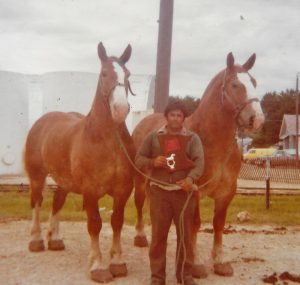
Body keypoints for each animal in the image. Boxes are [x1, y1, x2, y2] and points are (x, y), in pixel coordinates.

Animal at [24, 41, 135, 282]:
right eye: (104, 74)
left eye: (128, 74)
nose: (121, 109)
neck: (107, 141)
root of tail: (42, 121)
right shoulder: (91, 191)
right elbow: (95, 224)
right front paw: (98, 266)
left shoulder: (123, 190)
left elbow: (117, 222)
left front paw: (117, 262)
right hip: (37, 176)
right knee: (37, 202)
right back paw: (36, 240)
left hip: (64, 181)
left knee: (56, 202)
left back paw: (54, 240)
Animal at [132, 52, 264, 276]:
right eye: (235, 85)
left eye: (254, 82)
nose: (258, 119)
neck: (213, 142)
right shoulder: (194, 191)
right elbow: (194, 224)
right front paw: (197, 263)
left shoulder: (227, 192)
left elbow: (218, 224)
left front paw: (219, 261)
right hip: (140, 179)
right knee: (140, 203)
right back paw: (141, 237)